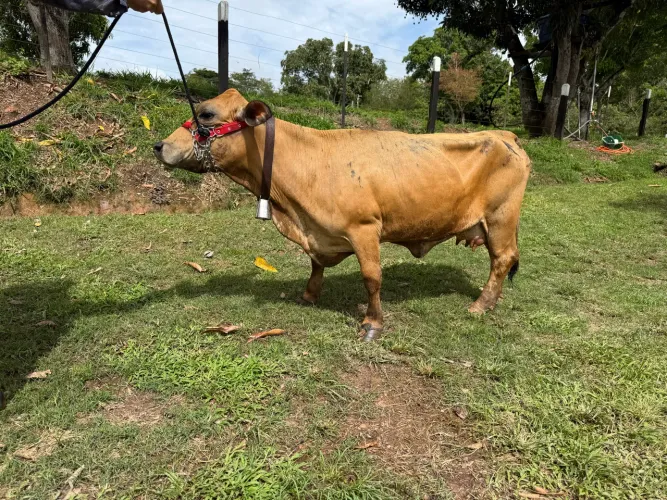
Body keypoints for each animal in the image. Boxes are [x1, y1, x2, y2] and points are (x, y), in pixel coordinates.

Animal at [154, 89, 531, 341]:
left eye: (206, 114)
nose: (158, 146)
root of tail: (505, 135)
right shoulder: (317, 232)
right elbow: (315, 264)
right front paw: (309, 295)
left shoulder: (364, 228)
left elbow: (372, 277)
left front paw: (372, 323)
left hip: (501, 217)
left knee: (502, 259)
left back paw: (481, 305)